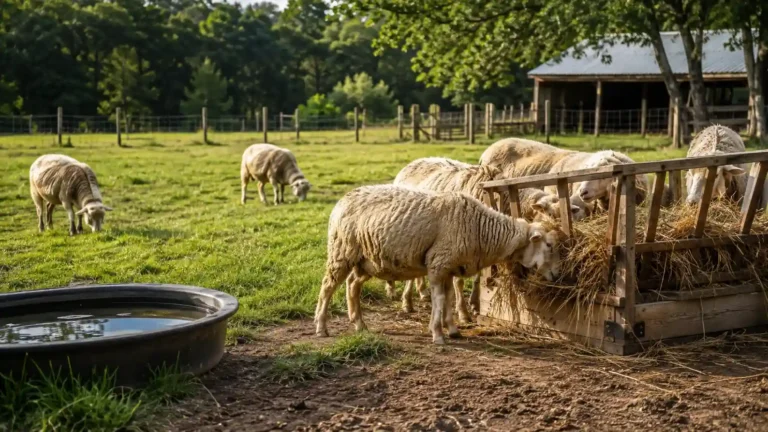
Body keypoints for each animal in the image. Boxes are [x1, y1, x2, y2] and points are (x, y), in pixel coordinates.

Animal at [313, 185, 564, 345]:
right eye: (549, 245)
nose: (556, 274)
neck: (481, 230)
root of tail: (343, 199)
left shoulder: (450, 267)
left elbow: (450, 299)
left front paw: (452, 329)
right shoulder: (438, 264)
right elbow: (440, 299)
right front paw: (438, 334)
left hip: (367, 260)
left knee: (352, 285)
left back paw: (359, 324)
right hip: (341, 251)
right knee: (327, 287)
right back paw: (321, 327)